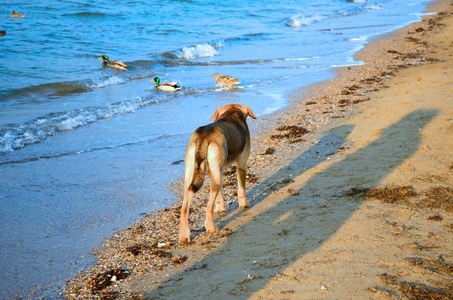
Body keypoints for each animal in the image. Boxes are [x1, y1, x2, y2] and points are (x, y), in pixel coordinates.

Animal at [180, 104, 258, 243]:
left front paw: (221, 208)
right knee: (208, 208)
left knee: (184, 208)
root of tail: (204, 136)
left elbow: (220, 195)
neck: (232, 112)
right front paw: (244, 204)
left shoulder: (218, 171)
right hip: (215, 179)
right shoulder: (242, 164)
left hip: (192, 176)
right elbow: (242, 189)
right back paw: (211, 227)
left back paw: (184, 235)